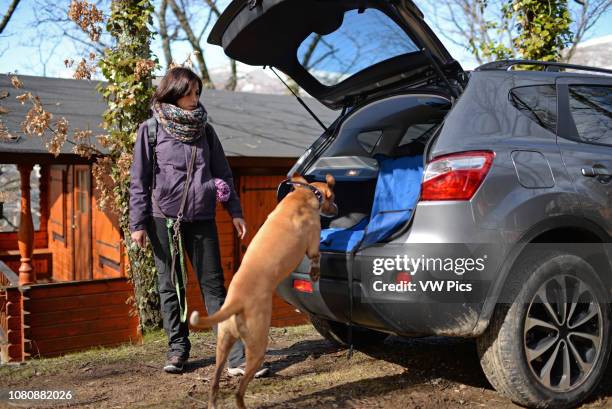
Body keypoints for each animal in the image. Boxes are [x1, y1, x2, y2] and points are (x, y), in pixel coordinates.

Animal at [190, 173, 338, 408]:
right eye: (332, 198)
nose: (338, 209)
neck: (303, 195)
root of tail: (236, 301)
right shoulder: (313, 245)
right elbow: (317, 257)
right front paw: (315, 273)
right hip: (258, 346)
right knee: (239, 391)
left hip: (223, 344)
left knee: (214, 383)